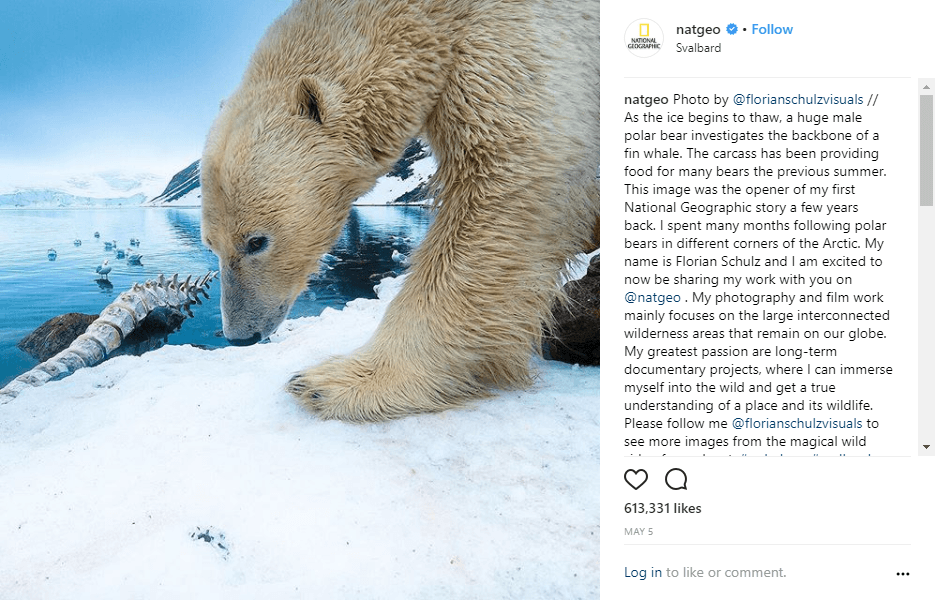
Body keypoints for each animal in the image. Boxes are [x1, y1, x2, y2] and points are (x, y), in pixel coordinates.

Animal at [203, 0, 600, 422]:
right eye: (211, 244)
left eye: (256, 241)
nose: (240, 336)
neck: (430, 16)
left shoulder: (516, 35)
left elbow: (508, 178)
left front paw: (337, 383)